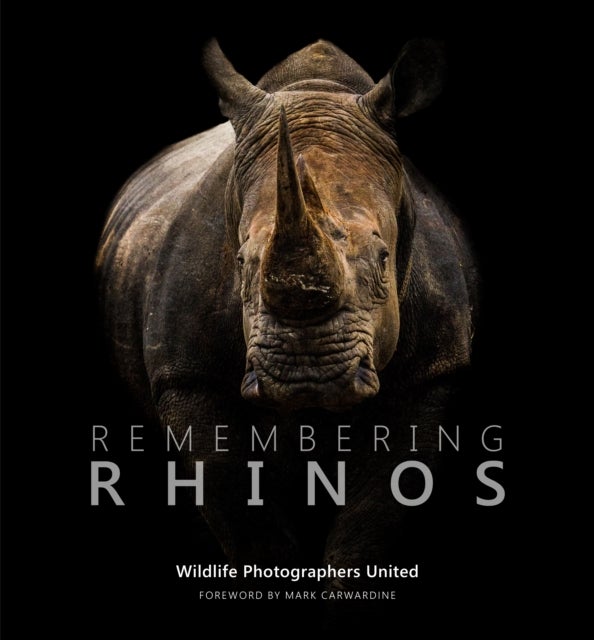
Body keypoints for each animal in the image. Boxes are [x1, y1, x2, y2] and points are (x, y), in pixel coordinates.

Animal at [96, 38, 478, 595]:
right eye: (239, 262)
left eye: (384, 258)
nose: (307, 377)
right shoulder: (189, 379)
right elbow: (251, 532)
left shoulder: (433, 375)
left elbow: (365, 534)